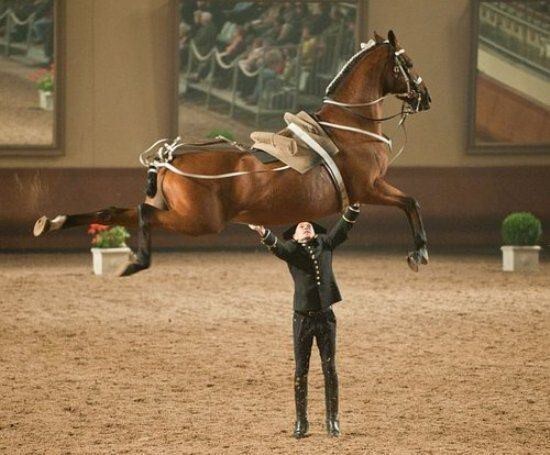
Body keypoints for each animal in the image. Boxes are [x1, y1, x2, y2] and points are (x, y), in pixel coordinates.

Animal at [33, 31, 432, 278]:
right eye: (408, 64)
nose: (425, 98)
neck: (348, 125)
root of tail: (169, 159)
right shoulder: (369, 187)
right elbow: (411, 201)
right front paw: (420, 253)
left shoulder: (372, 189)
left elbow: (411, 202)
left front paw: (419, 252)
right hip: (197, 221)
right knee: (144, 214)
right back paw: (137, 261)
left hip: (180, 213)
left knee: (113, 212)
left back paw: (52, 222)